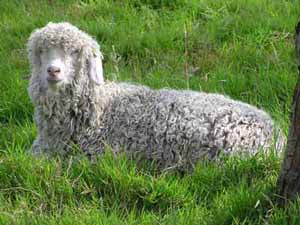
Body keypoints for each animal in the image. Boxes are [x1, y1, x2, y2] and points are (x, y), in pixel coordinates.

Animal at [27, 22, 284, 170]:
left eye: (74, 52)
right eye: (41, 51)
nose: (53, 71)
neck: (99, 111)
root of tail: (276, 134)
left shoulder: (96, 156)